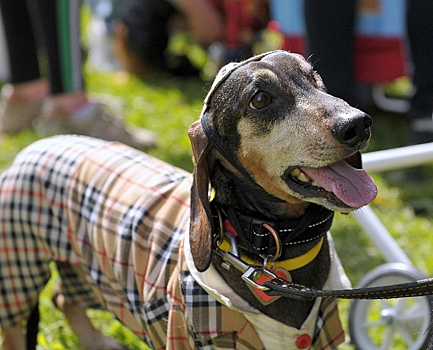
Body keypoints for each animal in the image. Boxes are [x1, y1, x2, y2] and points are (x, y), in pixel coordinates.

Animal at [0, 50, 374, 350]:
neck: (270, 247)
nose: (358, 124)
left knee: (63, 297)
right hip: (20, 265)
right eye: (260, 98)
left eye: (315, 78)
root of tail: (43, 141)